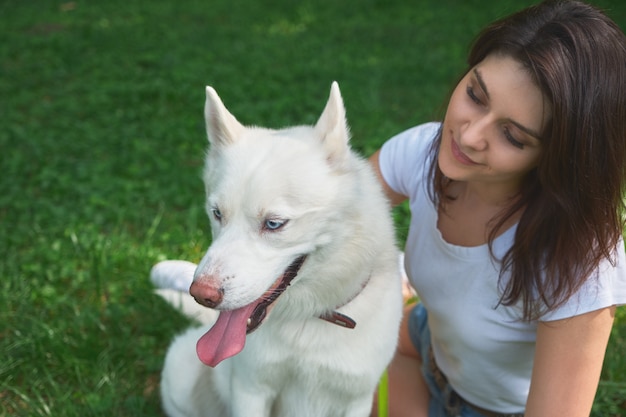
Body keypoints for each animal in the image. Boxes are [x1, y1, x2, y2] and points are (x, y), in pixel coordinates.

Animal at [154, 82, 402, 416]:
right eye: (217, 213)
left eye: (273, 224)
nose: (201, 294)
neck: (310, 318)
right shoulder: (251, 389)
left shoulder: (357, 399)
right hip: (178, 373)